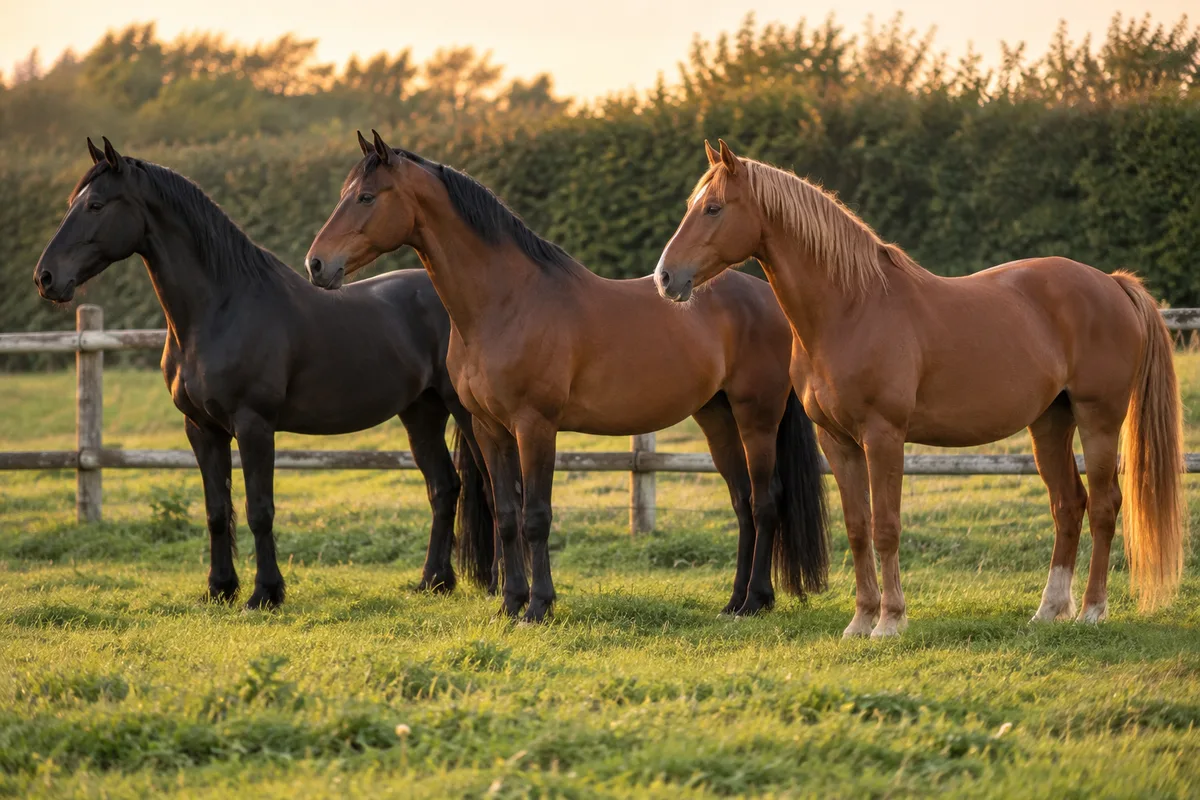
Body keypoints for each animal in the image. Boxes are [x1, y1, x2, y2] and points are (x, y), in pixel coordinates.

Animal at [32, 137, 495, 609]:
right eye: (74, 203)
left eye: (95, 204)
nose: (45, 278)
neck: (221, 308)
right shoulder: (201, 429)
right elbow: (217, 511)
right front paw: (219, 588)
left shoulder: (254, 425)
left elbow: (260, 510)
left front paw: (265, 594)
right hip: (421, 412)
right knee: (444, 487)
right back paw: (434, 581)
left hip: (466, 413)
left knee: (488, 490)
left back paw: (492, 583)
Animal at [303, 130, 829, 623]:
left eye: (366, 197)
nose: (316, 264)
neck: (506, 303)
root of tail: (768, 300)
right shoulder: (489, 429)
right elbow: (506, 515)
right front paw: (510, 603)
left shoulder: (535, 426)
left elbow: (536, 515)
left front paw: (539, 606)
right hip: (716, 417)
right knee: (742, 502)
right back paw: (734, 601)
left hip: (756, 416)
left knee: (765, 501)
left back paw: (757, 600)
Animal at [654, 139, 1186, 637]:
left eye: (713, 207)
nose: (665, 278)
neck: (851, 308)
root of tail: (1112, 283)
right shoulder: (838, 442)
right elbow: (857, 528)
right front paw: (860, 621)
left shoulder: (884, 437)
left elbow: (886, 527)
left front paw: (890, 621)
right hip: (1050, 422)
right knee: (1068, 505)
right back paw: (1049, 610)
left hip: (1099, 419)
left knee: (1103, 506)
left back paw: (1093, 610)